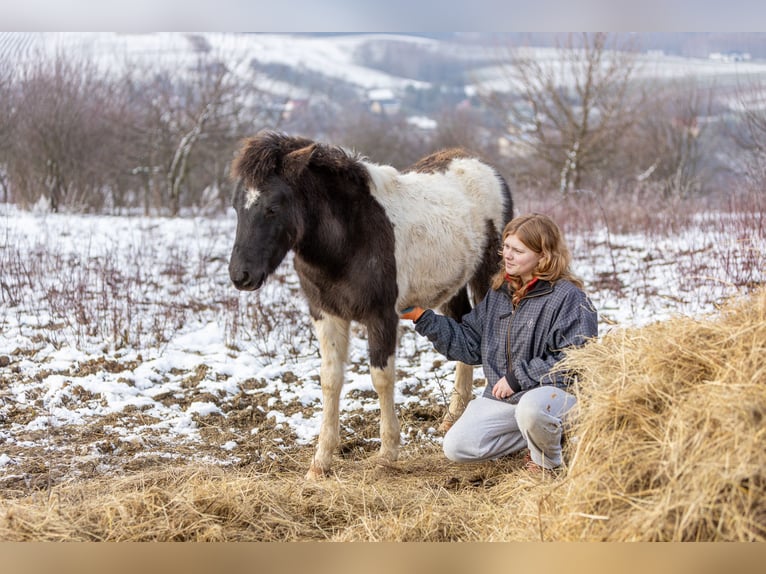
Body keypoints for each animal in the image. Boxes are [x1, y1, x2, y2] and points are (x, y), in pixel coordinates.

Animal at [228, 132, 516, 482]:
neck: (348, 239)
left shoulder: (381, 316)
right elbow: (330, 379)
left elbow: (381, 378)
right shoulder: (326, 315)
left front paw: (387, 454)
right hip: (454, 286)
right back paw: (452, 417)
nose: (241, 275)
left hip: (487, 276)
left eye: (272, 208)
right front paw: (321, 461)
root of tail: (485, 167)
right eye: (236, 208)